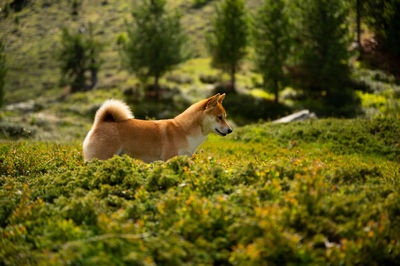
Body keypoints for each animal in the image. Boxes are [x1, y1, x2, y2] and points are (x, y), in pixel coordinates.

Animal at [83, 94, 233, 162]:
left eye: (225, 117)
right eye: (220, 117)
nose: (230, 130)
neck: (184, 130)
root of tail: (101, 122)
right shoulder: (169, 159)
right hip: (100, 157)